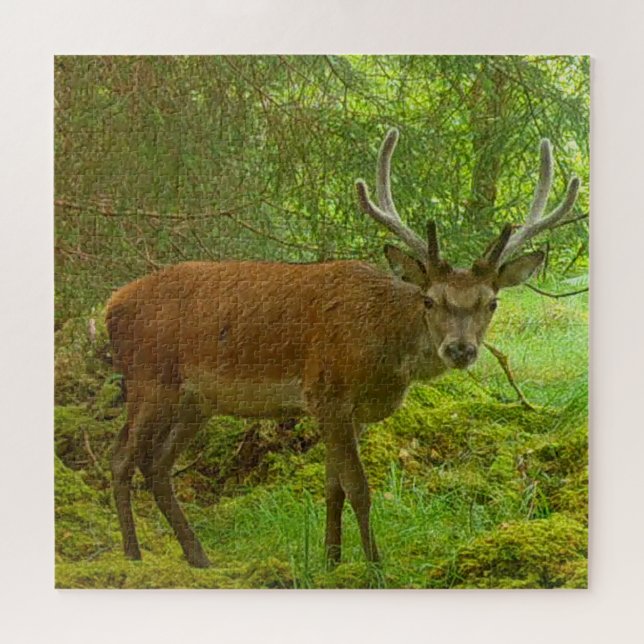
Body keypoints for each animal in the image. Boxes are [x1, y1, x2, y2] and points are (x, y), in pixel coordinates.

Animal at [106, 129, 580, 568]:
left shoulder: (352, 413)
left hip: (196, 400)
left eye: (492, 302)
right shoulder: (327, 392)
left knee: (158, 464)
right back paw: (132, 553)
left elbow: (333, 488)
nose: (460, 349)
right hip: (149, 378)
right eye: (429, 300)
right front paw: (374, 564)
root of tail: (111, 305)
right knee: (122, 456)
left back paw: (198, 556)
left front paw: (331, 560)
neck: (384, 355)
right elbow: (359, 488)